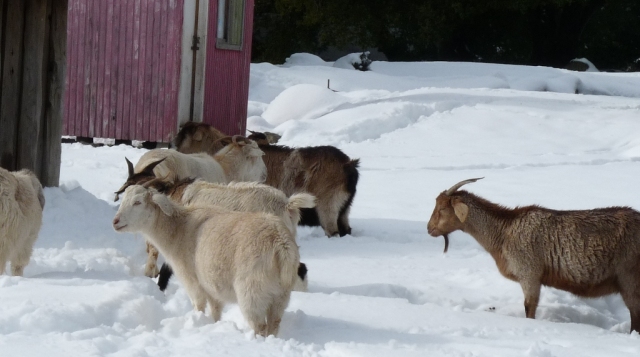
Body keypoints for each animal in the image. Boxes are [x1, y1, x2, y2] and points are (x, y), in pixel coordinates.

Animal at [113, 184, 300, 336]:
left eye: (138, 202)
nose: (115, 221)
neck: (177, 230)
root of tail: (281, 242)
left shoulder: (193, 282)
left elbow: (199, 307)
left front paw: (199, 322)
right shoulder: (212, 286)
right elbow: (216, 311)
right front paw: (213, 325)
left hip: (252, 291)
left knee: (260, 326)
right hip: (280, 294)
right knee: (274, 324)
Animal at [176, 124, 360, 238]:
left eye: (186, 137)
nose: (174, 148)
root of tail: (349, 165)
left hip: (328, 207)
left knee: (333, 232)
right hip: (344, 209)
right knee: (346, 229)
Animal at [428, 179, 640, 332]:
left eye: (442, 209)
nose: (429, 229)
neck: (504, 232)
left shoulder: (529, 272)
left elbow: (529, 308)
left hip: (629, 276)